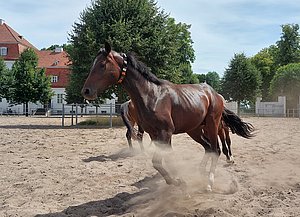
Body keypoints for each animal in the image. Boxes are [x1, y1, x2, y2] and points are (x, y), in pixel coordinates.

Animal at [82, 42, 253, 192]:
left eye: (102, 65)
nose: (86, 91)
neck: (152, 96)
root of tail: (215, 94)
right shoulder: (155, 134)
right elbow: (167, 159)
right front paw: (180, 181)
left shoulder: (165, 132)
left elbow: (158, 161)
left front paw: (177, 181)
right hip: (195, 130)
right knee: (208, 148)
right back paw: (200, 172)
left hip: (212, 124)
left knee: (216, 150)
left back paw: (209, 183)